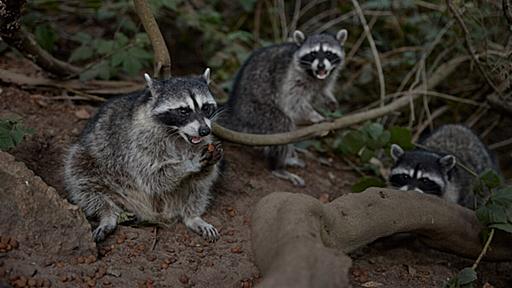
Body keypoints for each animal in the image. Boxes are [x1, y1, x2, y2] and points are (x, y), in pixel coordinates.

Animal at [64, 68, 224, 242]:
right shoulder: (139, 141)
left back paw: (192, 216)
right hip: (91, 158)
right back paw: (107, 214)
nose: (204, 130)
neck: (178, 134)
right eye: (183, 111)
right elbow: (152, 176)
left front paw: (207, 165)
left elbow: (202, 176)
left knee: (199, 188)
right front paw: (189, 163)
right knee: (82, 178)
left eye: (205, 107)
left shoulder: (203, 141)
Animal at [221, 29, 348, 187]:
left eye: (329, 53)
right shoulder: (292, 77)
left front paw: (330, 100)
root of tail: (236, 111)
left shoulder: (326, 78)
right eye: (313, 54)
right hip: (255, 110)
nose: (321, 66)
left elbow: (322, 91)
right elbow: (294, 103)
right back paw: (278, 166)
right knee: (282, 126)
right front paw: (315, 115)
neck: (314, 75)